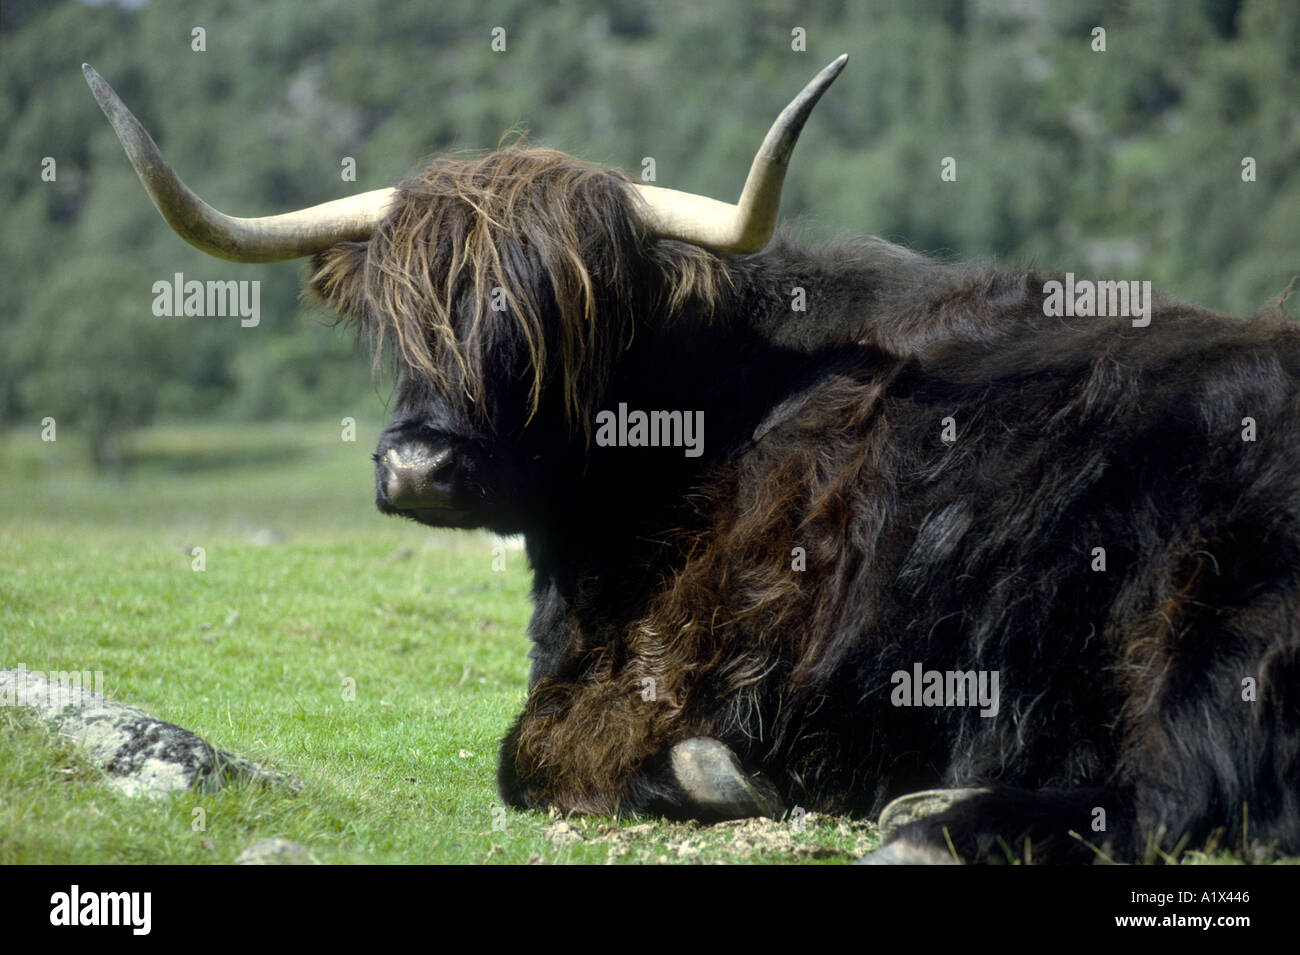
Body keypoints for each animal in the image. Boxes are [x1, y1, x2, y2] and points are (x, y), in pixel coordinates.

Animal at [84, 57, 1300, 863]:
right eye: (400, 317)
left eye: (563, 325)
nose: (421, 464)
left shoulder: (688, 658)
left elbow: (527, 751)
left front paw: (707, 773)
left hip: (1211, 610)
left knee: (1184, 788)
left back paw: (928, 826)